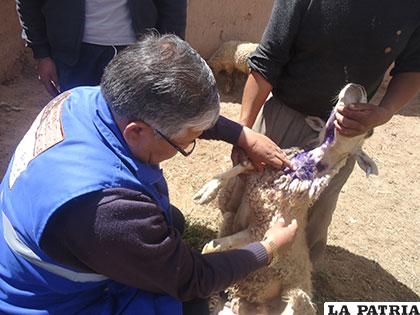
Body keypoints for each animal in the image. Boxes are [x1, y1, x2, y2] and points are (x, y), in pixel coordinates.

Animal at [194, 84, 378, 315]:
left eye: (369, 131)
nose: (357, 87)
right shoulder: (264, 168)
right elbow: (242, 165)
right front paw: (207, 191)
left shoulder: (258, 231)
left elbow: (210, 248)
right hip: (229, 220)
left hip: (296, 298)